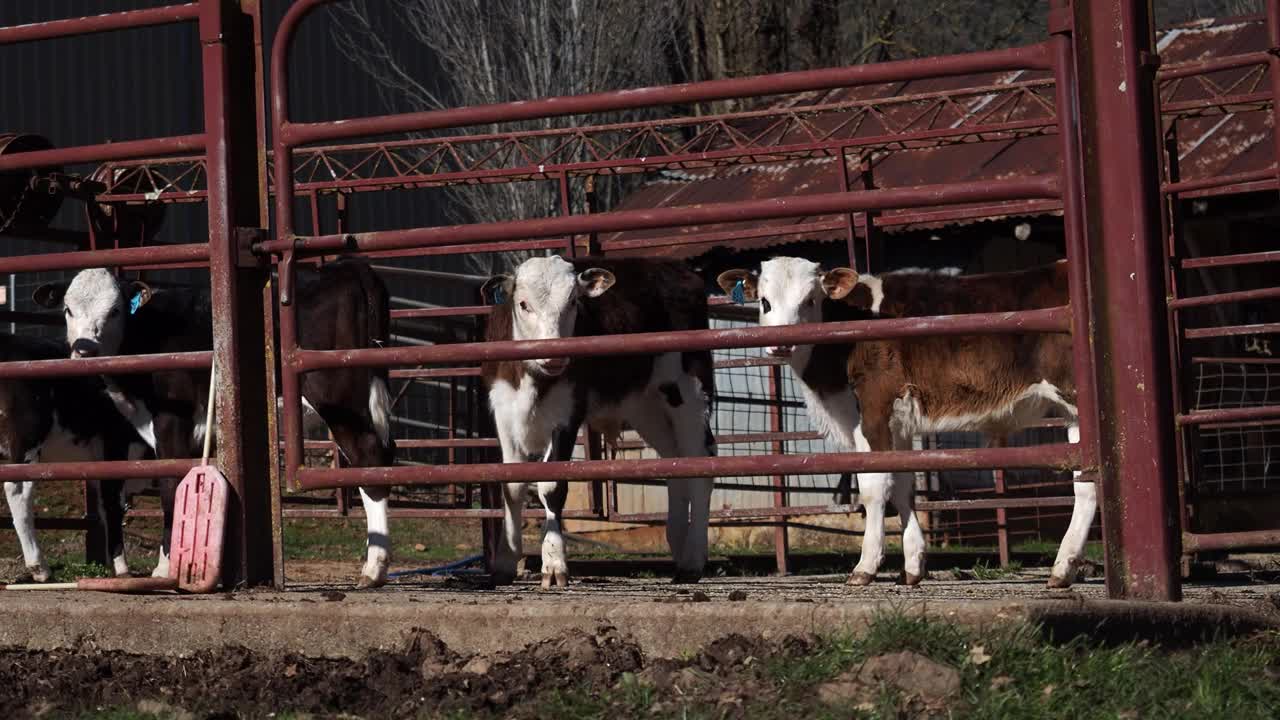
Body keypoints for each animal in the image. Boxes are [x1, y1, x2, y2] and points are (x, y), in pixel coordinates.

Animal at [0, 330, 148, 576]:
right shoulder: (115, 443)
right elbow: (112, 505)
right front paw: (121, 567)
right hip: (27, 435)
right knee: (18, 490)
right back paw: (39, 566)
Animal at [35, 256, 396, 584]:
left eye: (115, 310)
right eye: (67, 309)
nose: (84, 349)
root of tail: (342, 266)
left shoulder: (171, 423)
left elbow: (170, 488)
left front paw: (165, 568)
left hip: (337, 397)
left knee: (369, 456)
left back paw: (374, 568)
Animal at [481, 254, 721, 586]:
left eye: (573, 302)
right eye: (523, 304)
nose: (554, 356)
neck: (533, 380)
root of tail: (674, 268)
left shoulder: (567, 414)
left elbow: (551, 487)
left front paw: (554, 562)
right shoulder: (504, 412)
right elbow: (512, 485)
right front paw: (504, 562)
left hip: (689, 391)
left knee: (700, 460)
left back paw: (693, 560)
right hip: (646, 406)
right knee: (675, 460)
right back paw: (678, 544)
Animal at [721, 256, 1090, 584]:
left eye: (811, 299)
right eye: (765, 301)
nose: (782, 344)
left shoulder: (872, 412)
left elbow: (873, 489)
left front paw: (866, 567)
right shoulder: (897, 424)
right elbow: (902, 486)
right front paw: (913, 565)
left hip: (1076, 398)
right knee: (1086, 484)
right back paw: (1064, 569)